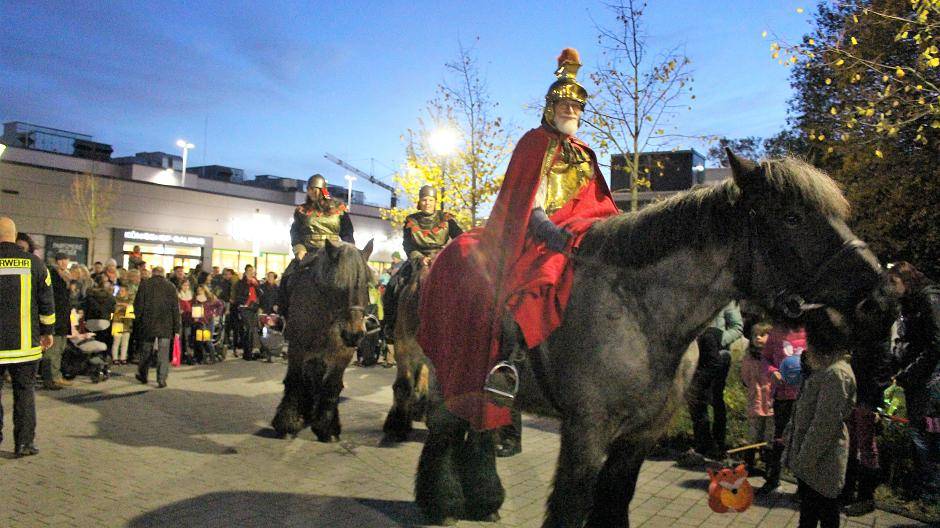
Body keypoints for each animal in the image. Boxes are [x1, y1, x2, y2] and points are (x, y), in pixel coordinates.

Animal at [270, 239, 372, 442]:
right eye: (337, 286)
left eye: (366, 285)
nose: (354, 334)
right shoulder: (297, 348)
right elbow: (294, 380)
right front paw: (288, 423)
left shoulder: (343, 352)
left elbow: (332, 385)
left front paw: (327, 427)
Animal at [414, 151, 892, 524]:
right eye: (792, 217)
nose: (881, 299)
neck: (641, 314)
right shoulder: (585, 435)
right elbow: (569, 508)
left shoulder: (640, 438)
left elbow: (614, 503)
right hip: (446, 377)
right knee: (443, 433)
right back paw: (440, 504)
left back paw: (483, 502)